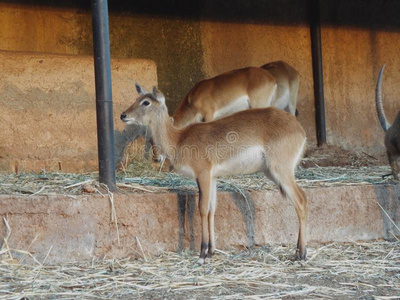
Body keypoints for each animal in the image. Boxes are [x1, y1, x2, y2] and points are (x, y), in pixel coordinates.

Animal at [120, 83, 308, 264]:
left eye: (146, 102)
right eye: (137, 98)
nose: (123, 115)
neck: (179, 139)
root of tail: (300, 130)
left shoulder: (203, 173)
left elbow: (202, 208)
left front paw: (202, 254)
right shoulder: (213, 177)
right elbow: (212, 209)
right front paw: (211, 251)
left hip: (280, 170)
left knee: (300, 200)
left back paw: (302, 254)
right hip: (272, 172)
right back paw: (297, 252)